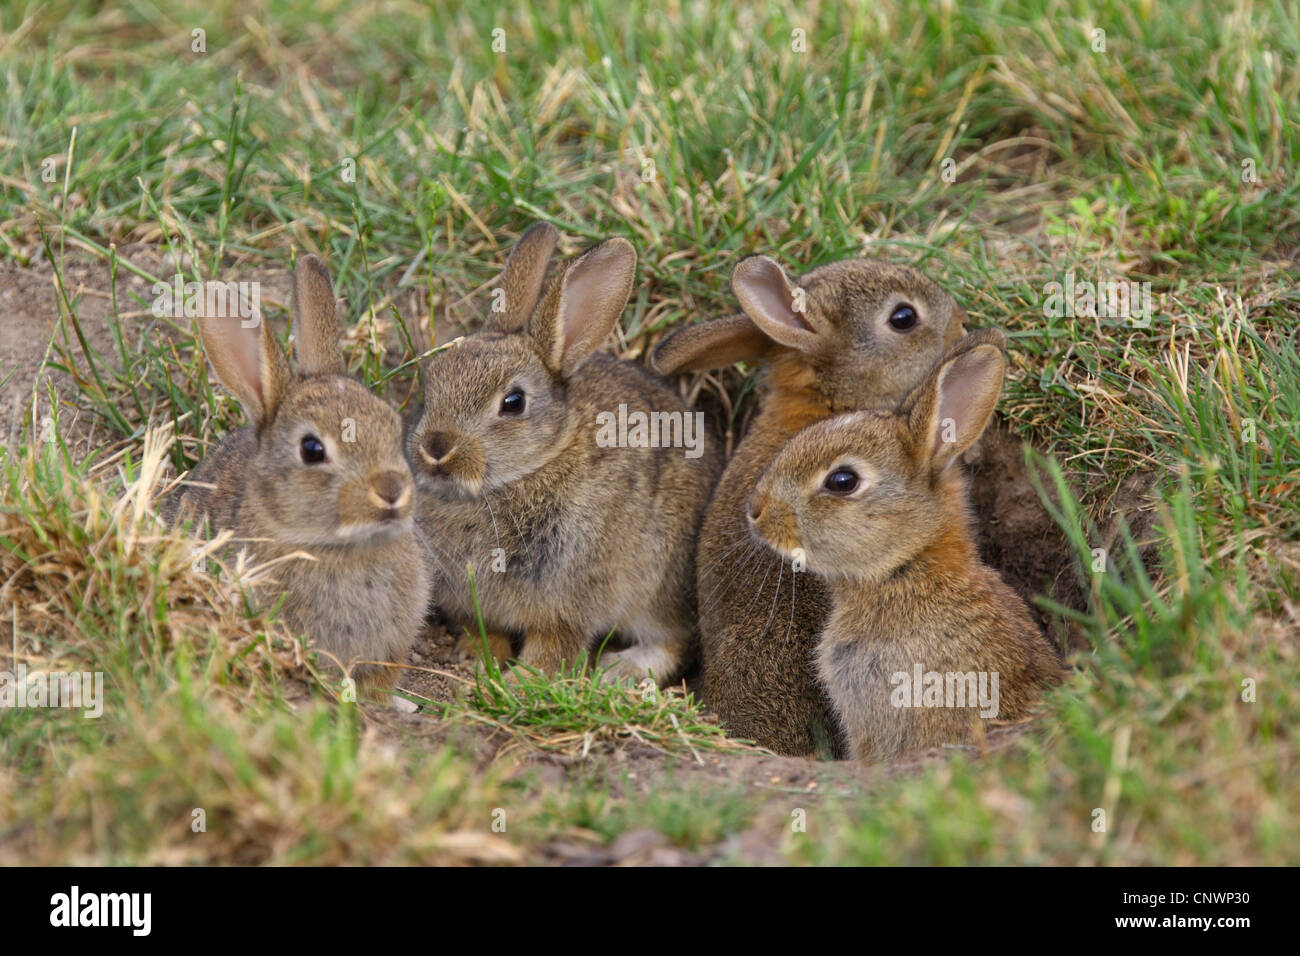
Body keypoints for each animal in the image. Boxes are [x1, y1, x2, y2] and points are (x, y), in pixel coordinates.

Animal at [405, 221, 722, 686]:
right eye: (432, 381)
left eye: (513, 402)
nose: (435, 449)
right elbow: (487, 631)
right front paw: (477, 659)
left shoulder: (569, 597)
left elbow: (554, 647)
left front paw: (519, 682)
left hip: (662, 584)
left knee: (676, 641)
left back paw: (620, 669)